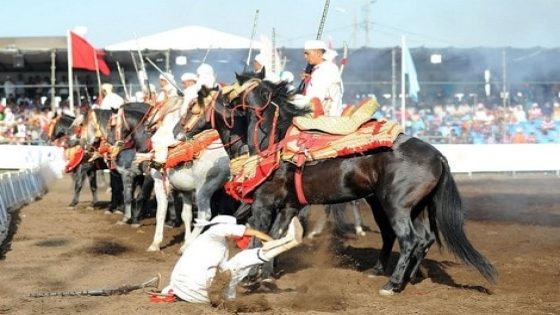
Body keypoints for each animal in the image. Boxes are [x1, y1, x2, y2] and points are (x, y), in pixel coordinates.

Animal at [225, 76, 496, 296]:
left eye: (233, 91)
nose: (225, 104)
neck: (276, 139)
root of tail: (438, 155)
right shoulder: (288, 206)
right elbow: (274, 238)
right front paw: (264, 275)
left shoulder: (263, 203)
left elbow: (259, 236)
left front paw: (250, 277)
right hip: (412, 208)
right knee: (422, 239)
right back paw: (405, 277)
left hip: (395, 206)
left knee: (409, 239)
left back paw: (392, 284)